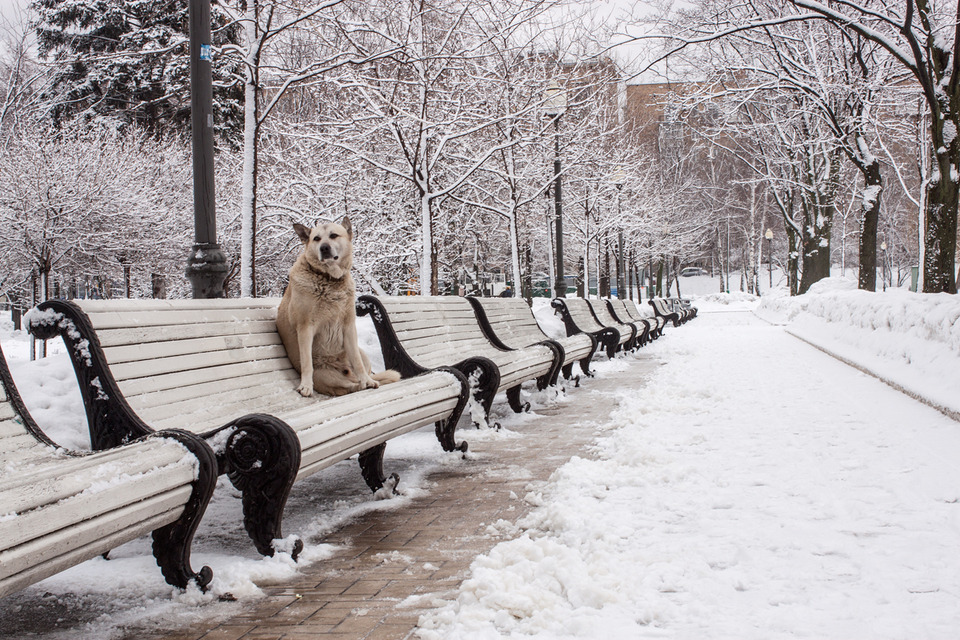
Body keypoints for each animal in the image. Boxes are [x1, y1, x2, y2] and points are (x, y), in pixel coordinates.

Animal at [274, 218, 402, 398]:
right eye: (316, 238)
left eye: (333, 235)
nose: (324, 248)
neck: (329, 280)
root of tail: (345, 371)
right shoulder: (305, 328)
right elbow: (307, 363)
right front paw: (305, 386)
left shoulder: (348, 327)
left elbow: (356, 361)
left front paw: (367, 380)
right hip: (324, 375)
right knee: (347, 388)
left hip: (362, 353)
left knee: (359, 374)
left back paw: (367, 381)